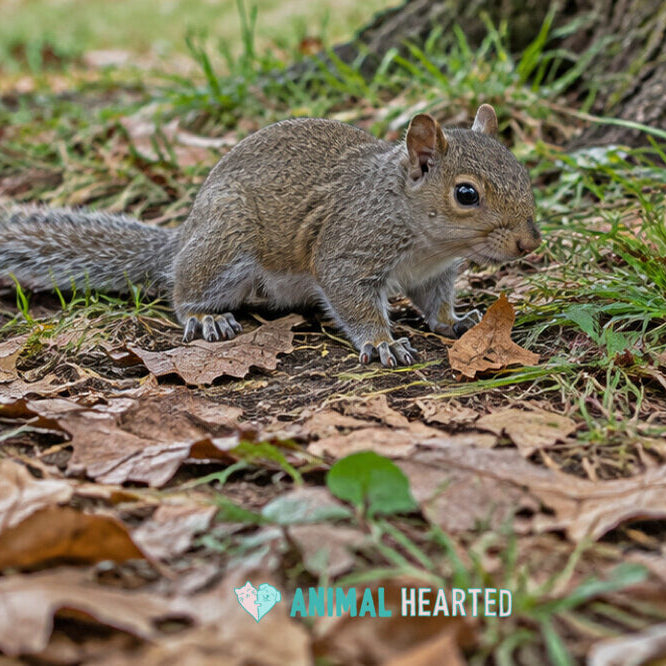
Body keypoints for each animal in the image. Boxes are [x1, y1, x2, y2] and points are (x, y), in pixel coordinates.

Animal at [0, 104, 540, 367]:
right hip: (226, 243)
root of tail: (184, 235)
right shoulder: (347, 251)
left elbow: (436, 303)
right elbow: (352, 299)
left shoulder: (434, 273)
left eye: (523, 172)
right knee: (183, 289)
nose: (529, 243)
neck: (428, 241)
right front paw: (384, 343)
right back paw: (205, 317)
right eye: (466, 194)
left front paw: (456, 321)